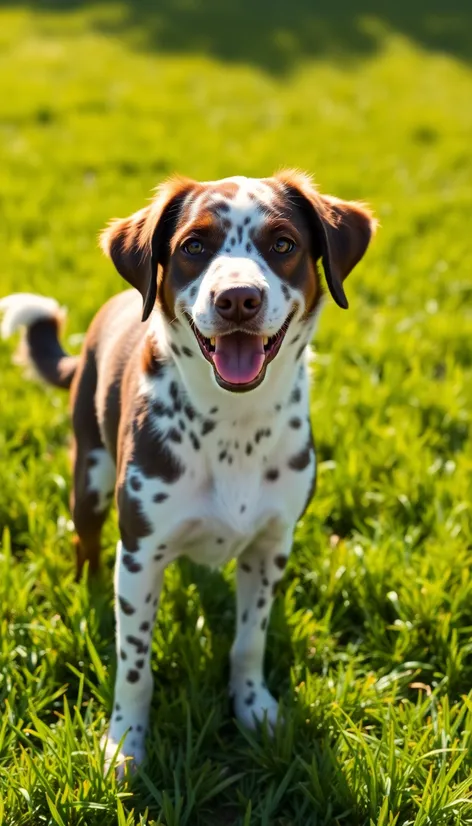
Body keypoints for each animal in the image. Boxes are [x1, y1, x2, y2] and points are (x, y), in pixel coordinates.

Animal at [0, 169, 376, 772]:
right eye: (194, 246)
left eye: (283, 244)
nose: (238, 299)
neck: (234, 426)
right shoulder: (139, 554)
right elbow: (135, 667)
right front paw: (125, 743)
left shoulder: (271, 546)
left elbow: (249, 641)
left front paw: (254, 708)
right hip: (90, 476)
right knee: (85, 543)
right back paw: (87, 594)